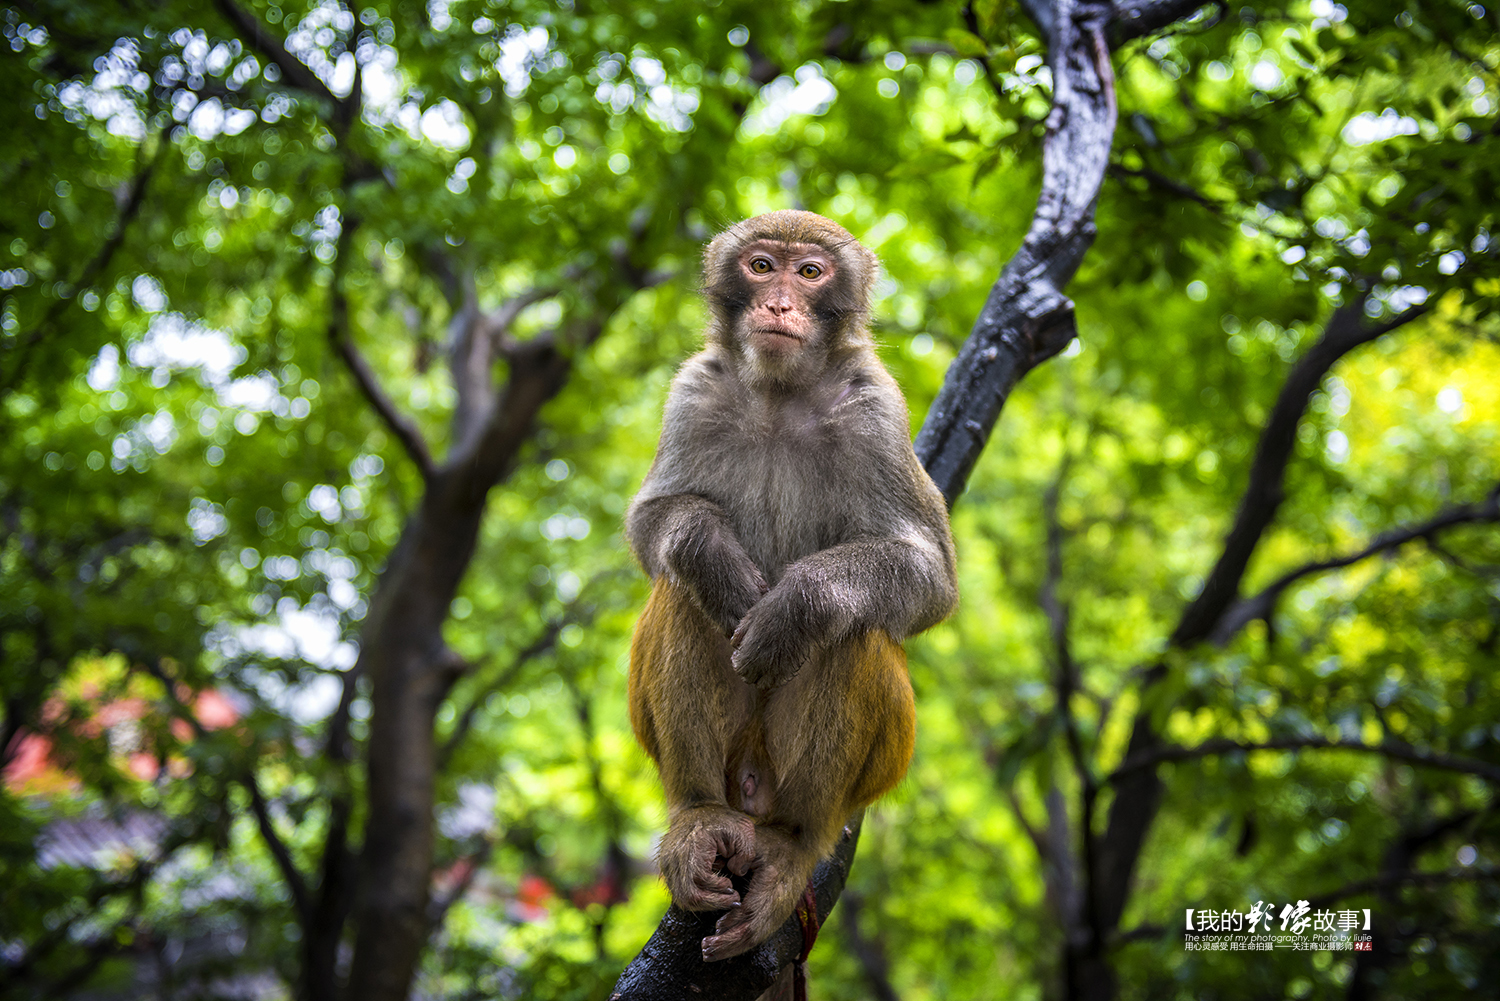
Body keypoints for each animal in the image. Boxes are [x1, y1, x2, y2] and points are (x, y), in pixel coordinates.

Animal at [624, 211, 954, 960]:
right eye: (762, 266)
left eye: (809, 273)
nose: (778, 304)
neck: (779, 393)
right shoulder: (693, 390)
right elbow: (654, 523)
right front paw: (711, 556)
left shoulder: (876, 408)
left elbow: (930, 575)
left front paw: (798, 607)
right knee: (679, 590)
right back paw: (699, 816)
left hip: (862, 773)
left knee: (858, 626)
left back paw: (791, 844)